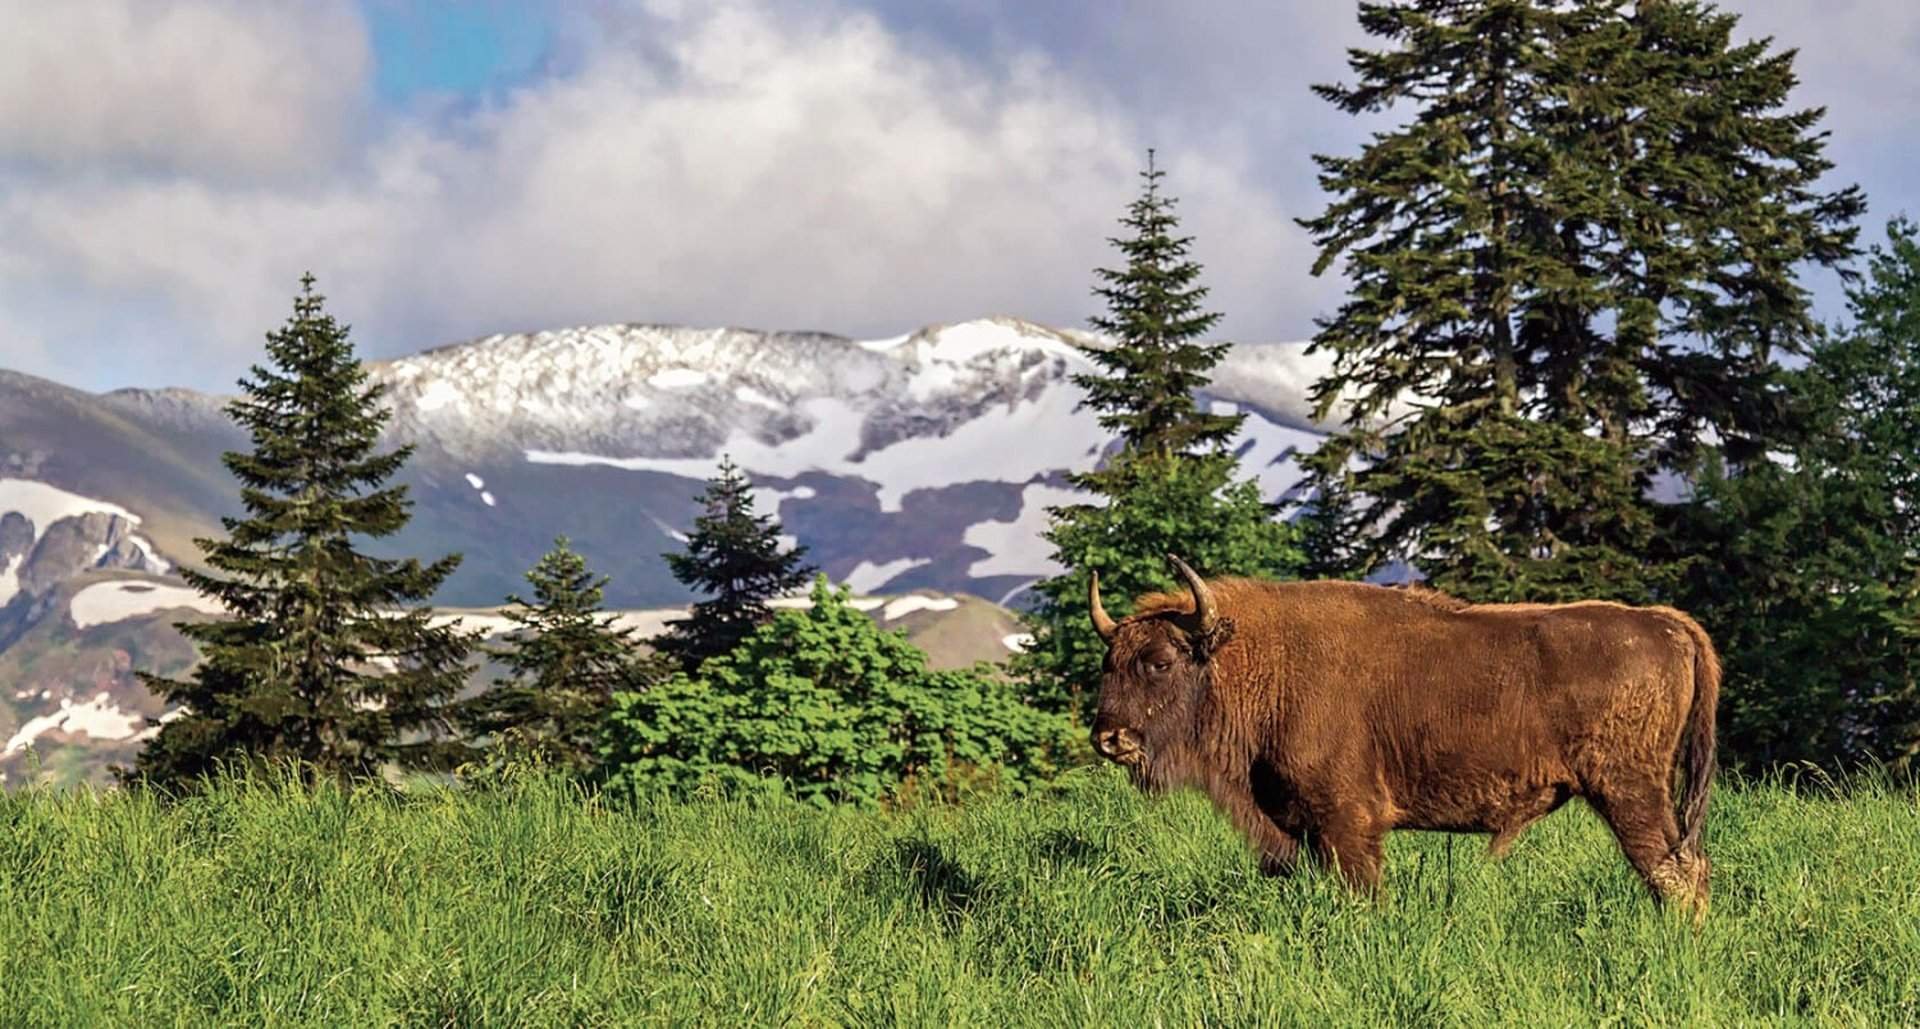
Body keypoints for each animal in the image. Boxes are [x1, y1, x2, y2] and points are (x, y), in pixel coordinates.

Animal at [1090, 552, 1720, 917]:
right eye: (1108, 663)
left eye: (1160, 661)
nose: (1108, 738)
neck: (1260, 659)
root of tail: (1666, 623)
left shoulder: (1347, 823)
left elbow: (1364, 893)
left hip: (1631, 792)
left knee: (1673, 872)